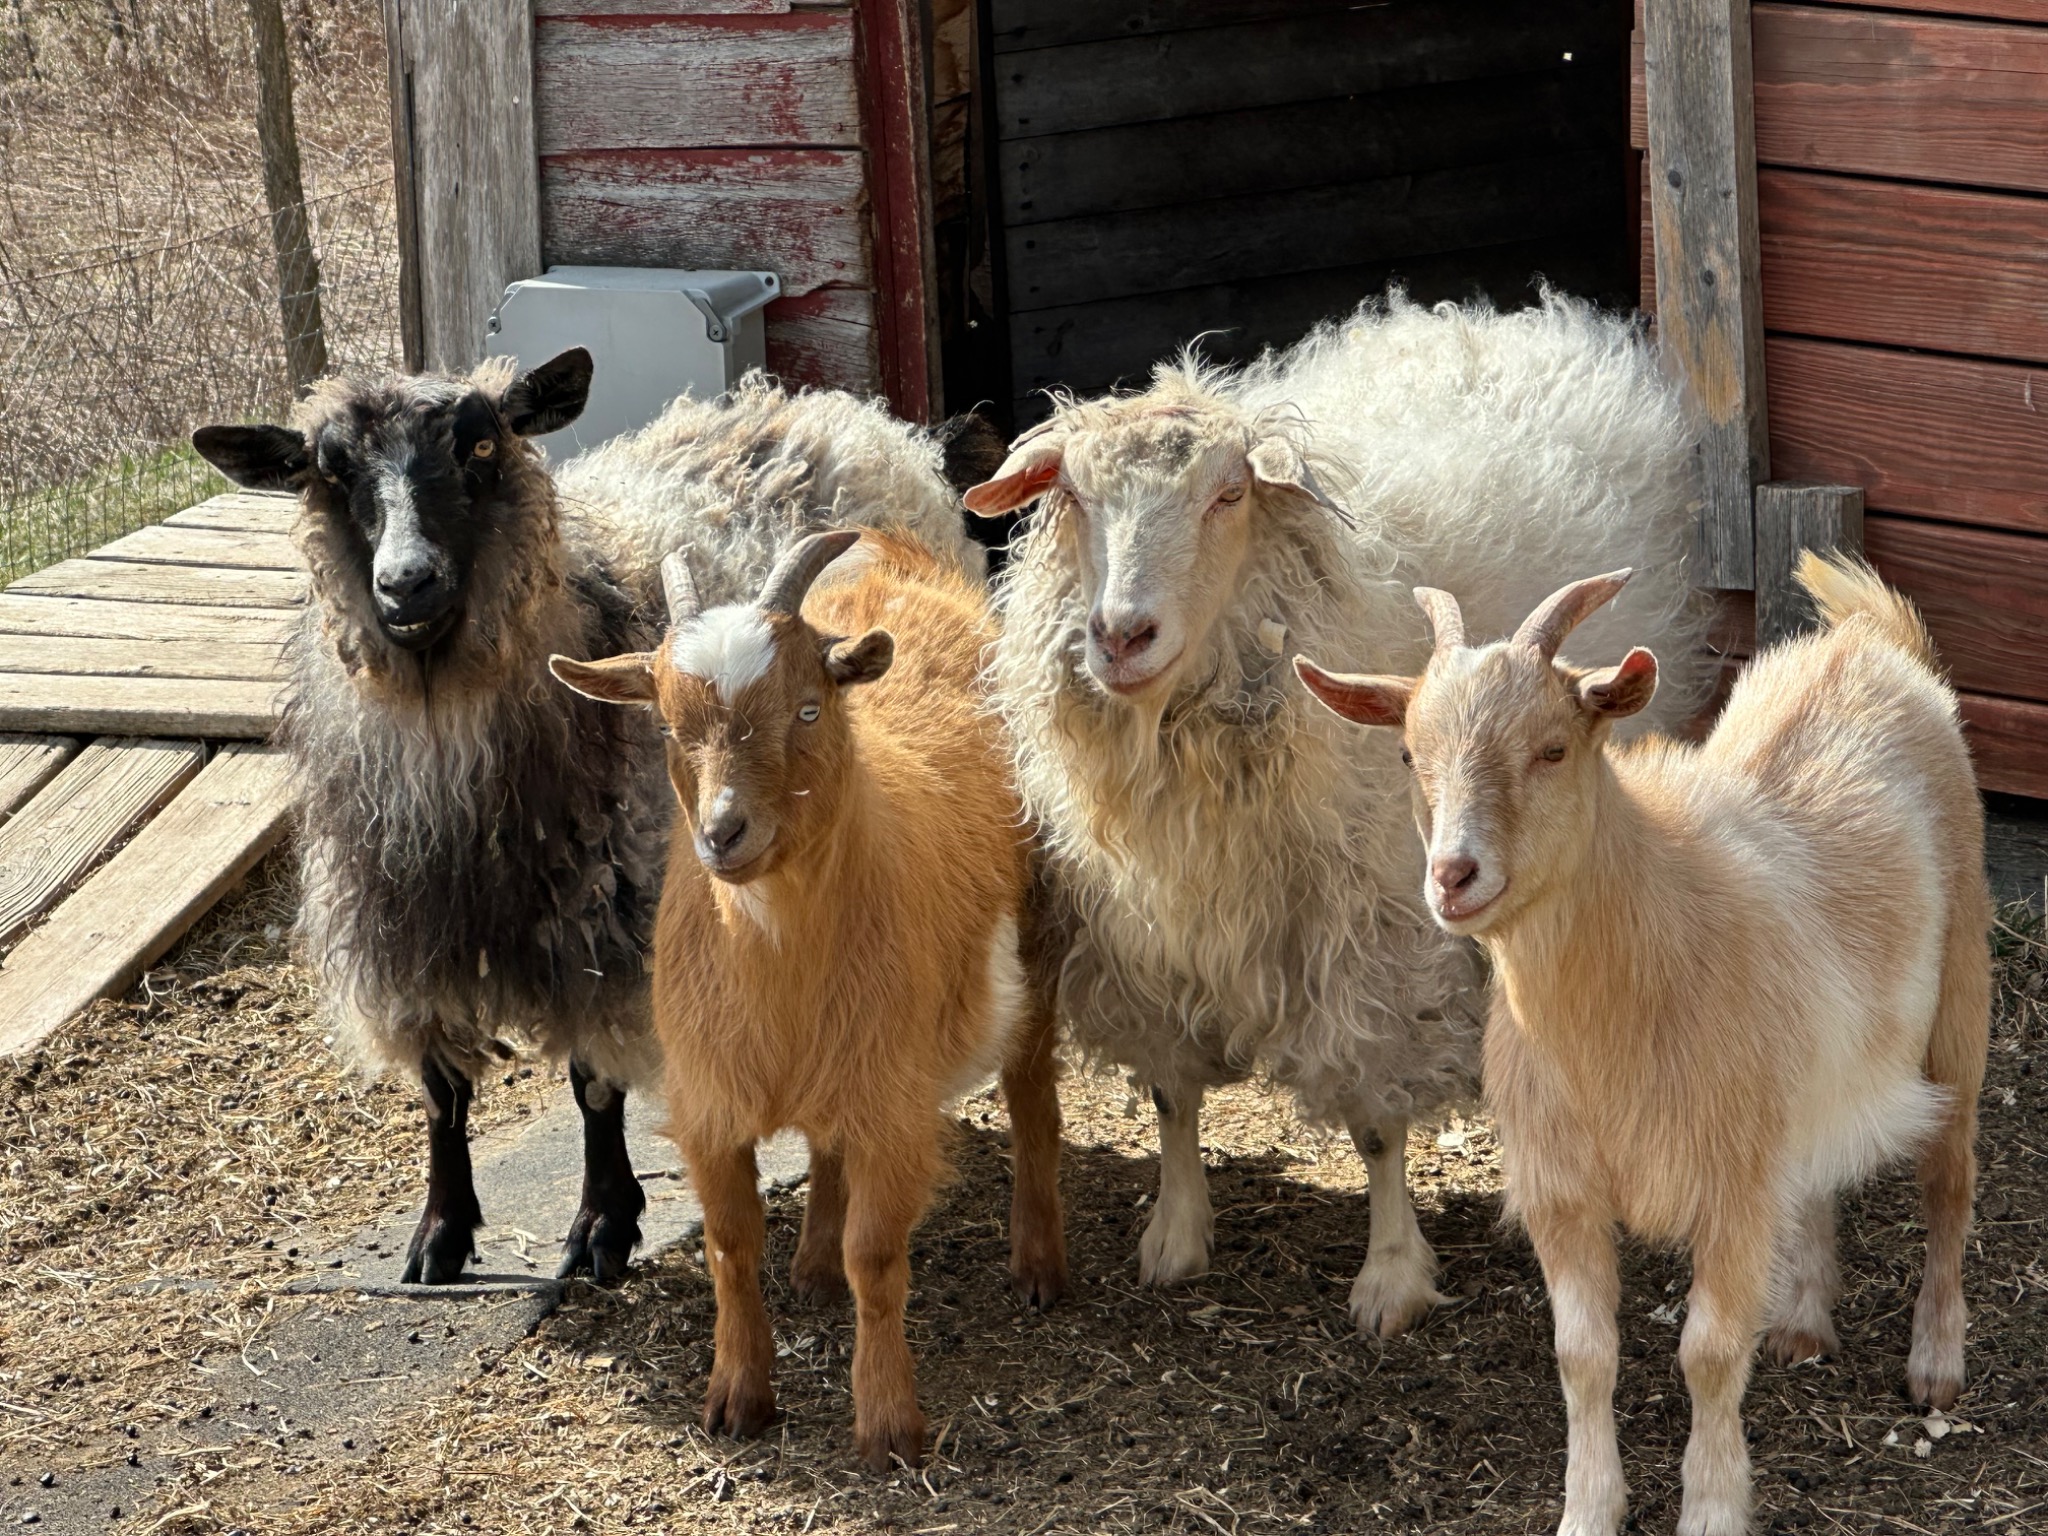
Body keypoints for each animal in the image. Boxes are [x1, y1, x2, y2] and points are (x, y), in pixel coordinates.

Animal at [191, 358, 983, 1287]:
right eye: (329, 469)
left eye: (482, 446)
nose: (406, 583)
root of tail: (829, 408)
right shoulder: (405, 931)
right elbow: (440, 1090)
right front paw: (441, 1232)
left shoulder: (606, 919)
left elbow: (592, 1084)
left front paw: (604, 1223)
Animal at [550, 528, 1066, 1472]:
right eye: (667, 724)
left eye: (808, 710)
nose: (724, 833)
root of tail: (895, 553)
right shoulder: (711, 1102)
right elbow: (730, 1246)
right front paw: (735, 1398)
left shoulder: (894, 1103)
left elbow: (879, 1260)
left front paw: (889, 1423)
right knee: (829, 1149)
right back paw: (814, 1265)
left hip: (1042, 946)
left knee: (1033, 1098)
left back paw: (1040, 1266)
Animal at [963, 292, 1711, 1335]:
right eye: (1071, 496)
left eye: (1228, 497)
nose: (1119, 636)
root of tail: (1515, 317)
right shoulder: (1147, 931)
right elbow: (1170, 1093)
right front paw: (1175, 1237)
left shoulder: (1377, 931)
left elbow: (1376, 1123)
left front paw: (1390, 1276)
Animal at [1295, 555, 1990, 1536]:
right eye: (1406, 756)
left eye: (1553, 748)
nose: (1453, 876)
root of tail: (1868, 642)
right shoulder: (1564, 1189)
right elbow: (1583, 1354)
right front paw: (1589, 1508)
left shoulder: (1733, 1184)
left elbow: (1709, 1351)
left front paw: (1712, 1507)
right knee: (1820, 1169)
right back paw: (1805, 1318)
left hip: (1961, 998)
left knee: (1950, 1182)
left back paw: (1936, 1363)